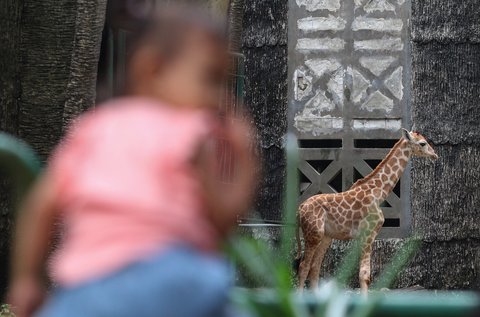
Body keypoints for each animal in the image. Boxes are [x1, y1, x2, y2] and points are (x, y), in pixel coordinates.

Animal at [294, 128, 436, 294]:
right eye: (423, 143)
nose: (435, 155)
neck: (379, 193)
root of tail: (299, 209)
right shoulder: (368, 233)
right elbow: (364, 275)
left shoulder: (365, 236)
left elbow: (365, 274)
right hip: (313, 235)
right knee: (303, 267)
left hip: (325, 237)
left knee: (314, 268)